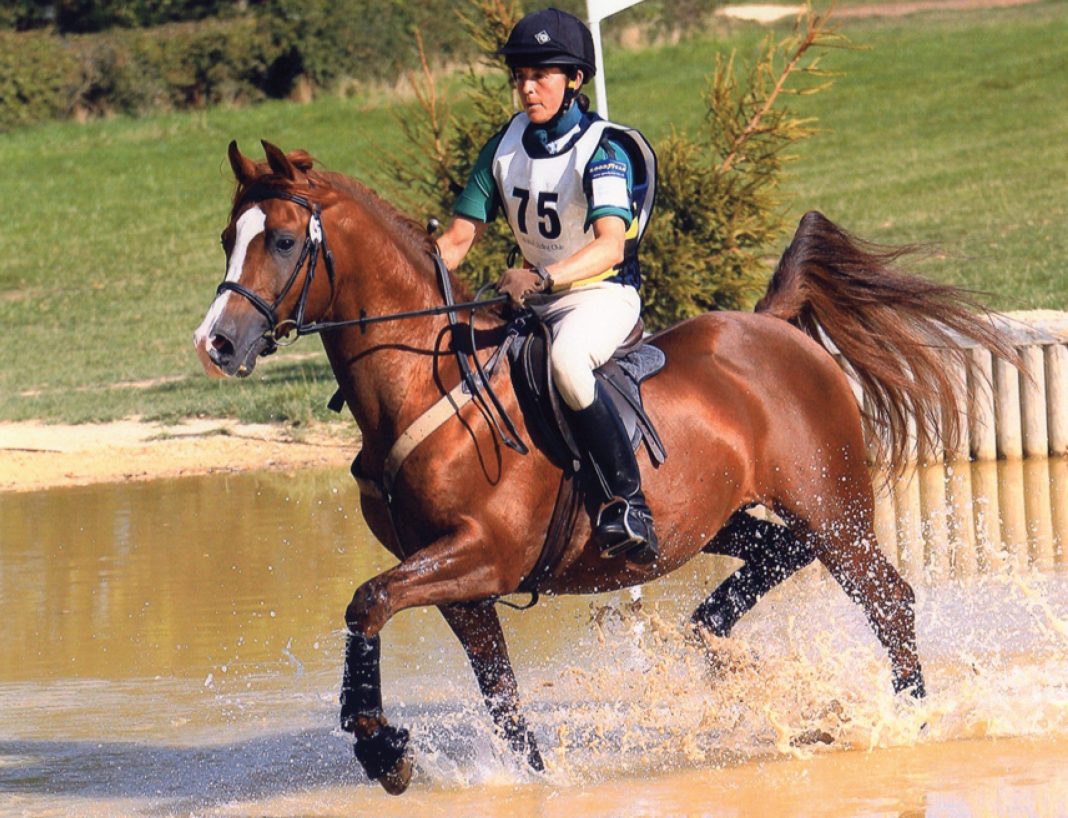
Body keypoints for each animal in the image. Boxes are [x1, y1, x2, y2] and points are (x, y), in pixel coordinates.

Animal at [194, 140, 1008, 794]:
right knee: (778, 555)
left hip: (836, 510)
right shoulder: (462, 586)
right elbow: (501, 697)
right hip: (717, 521)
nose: (217, 344)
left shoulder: (481, 556)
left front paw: (382, 750)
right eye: (230, 236)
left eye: (287, 241)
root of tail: (775, 328)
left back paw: (908, 723)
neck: (429, 385)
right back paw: (716, 637)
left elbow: (366, 602)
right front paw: (526, 777)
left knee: (890, 601)